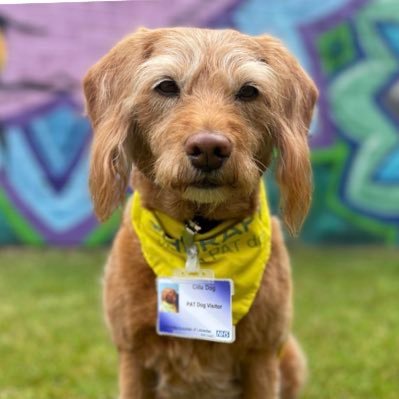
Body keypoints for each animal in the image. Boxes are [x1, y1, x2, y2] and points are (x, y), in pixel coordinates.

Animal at [83, 27, 318, 399]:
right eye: (166, 86)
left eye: (249, 91)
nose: (209, 148)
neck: (197, 232)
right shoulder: (132, 355)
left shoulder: (262, 356)